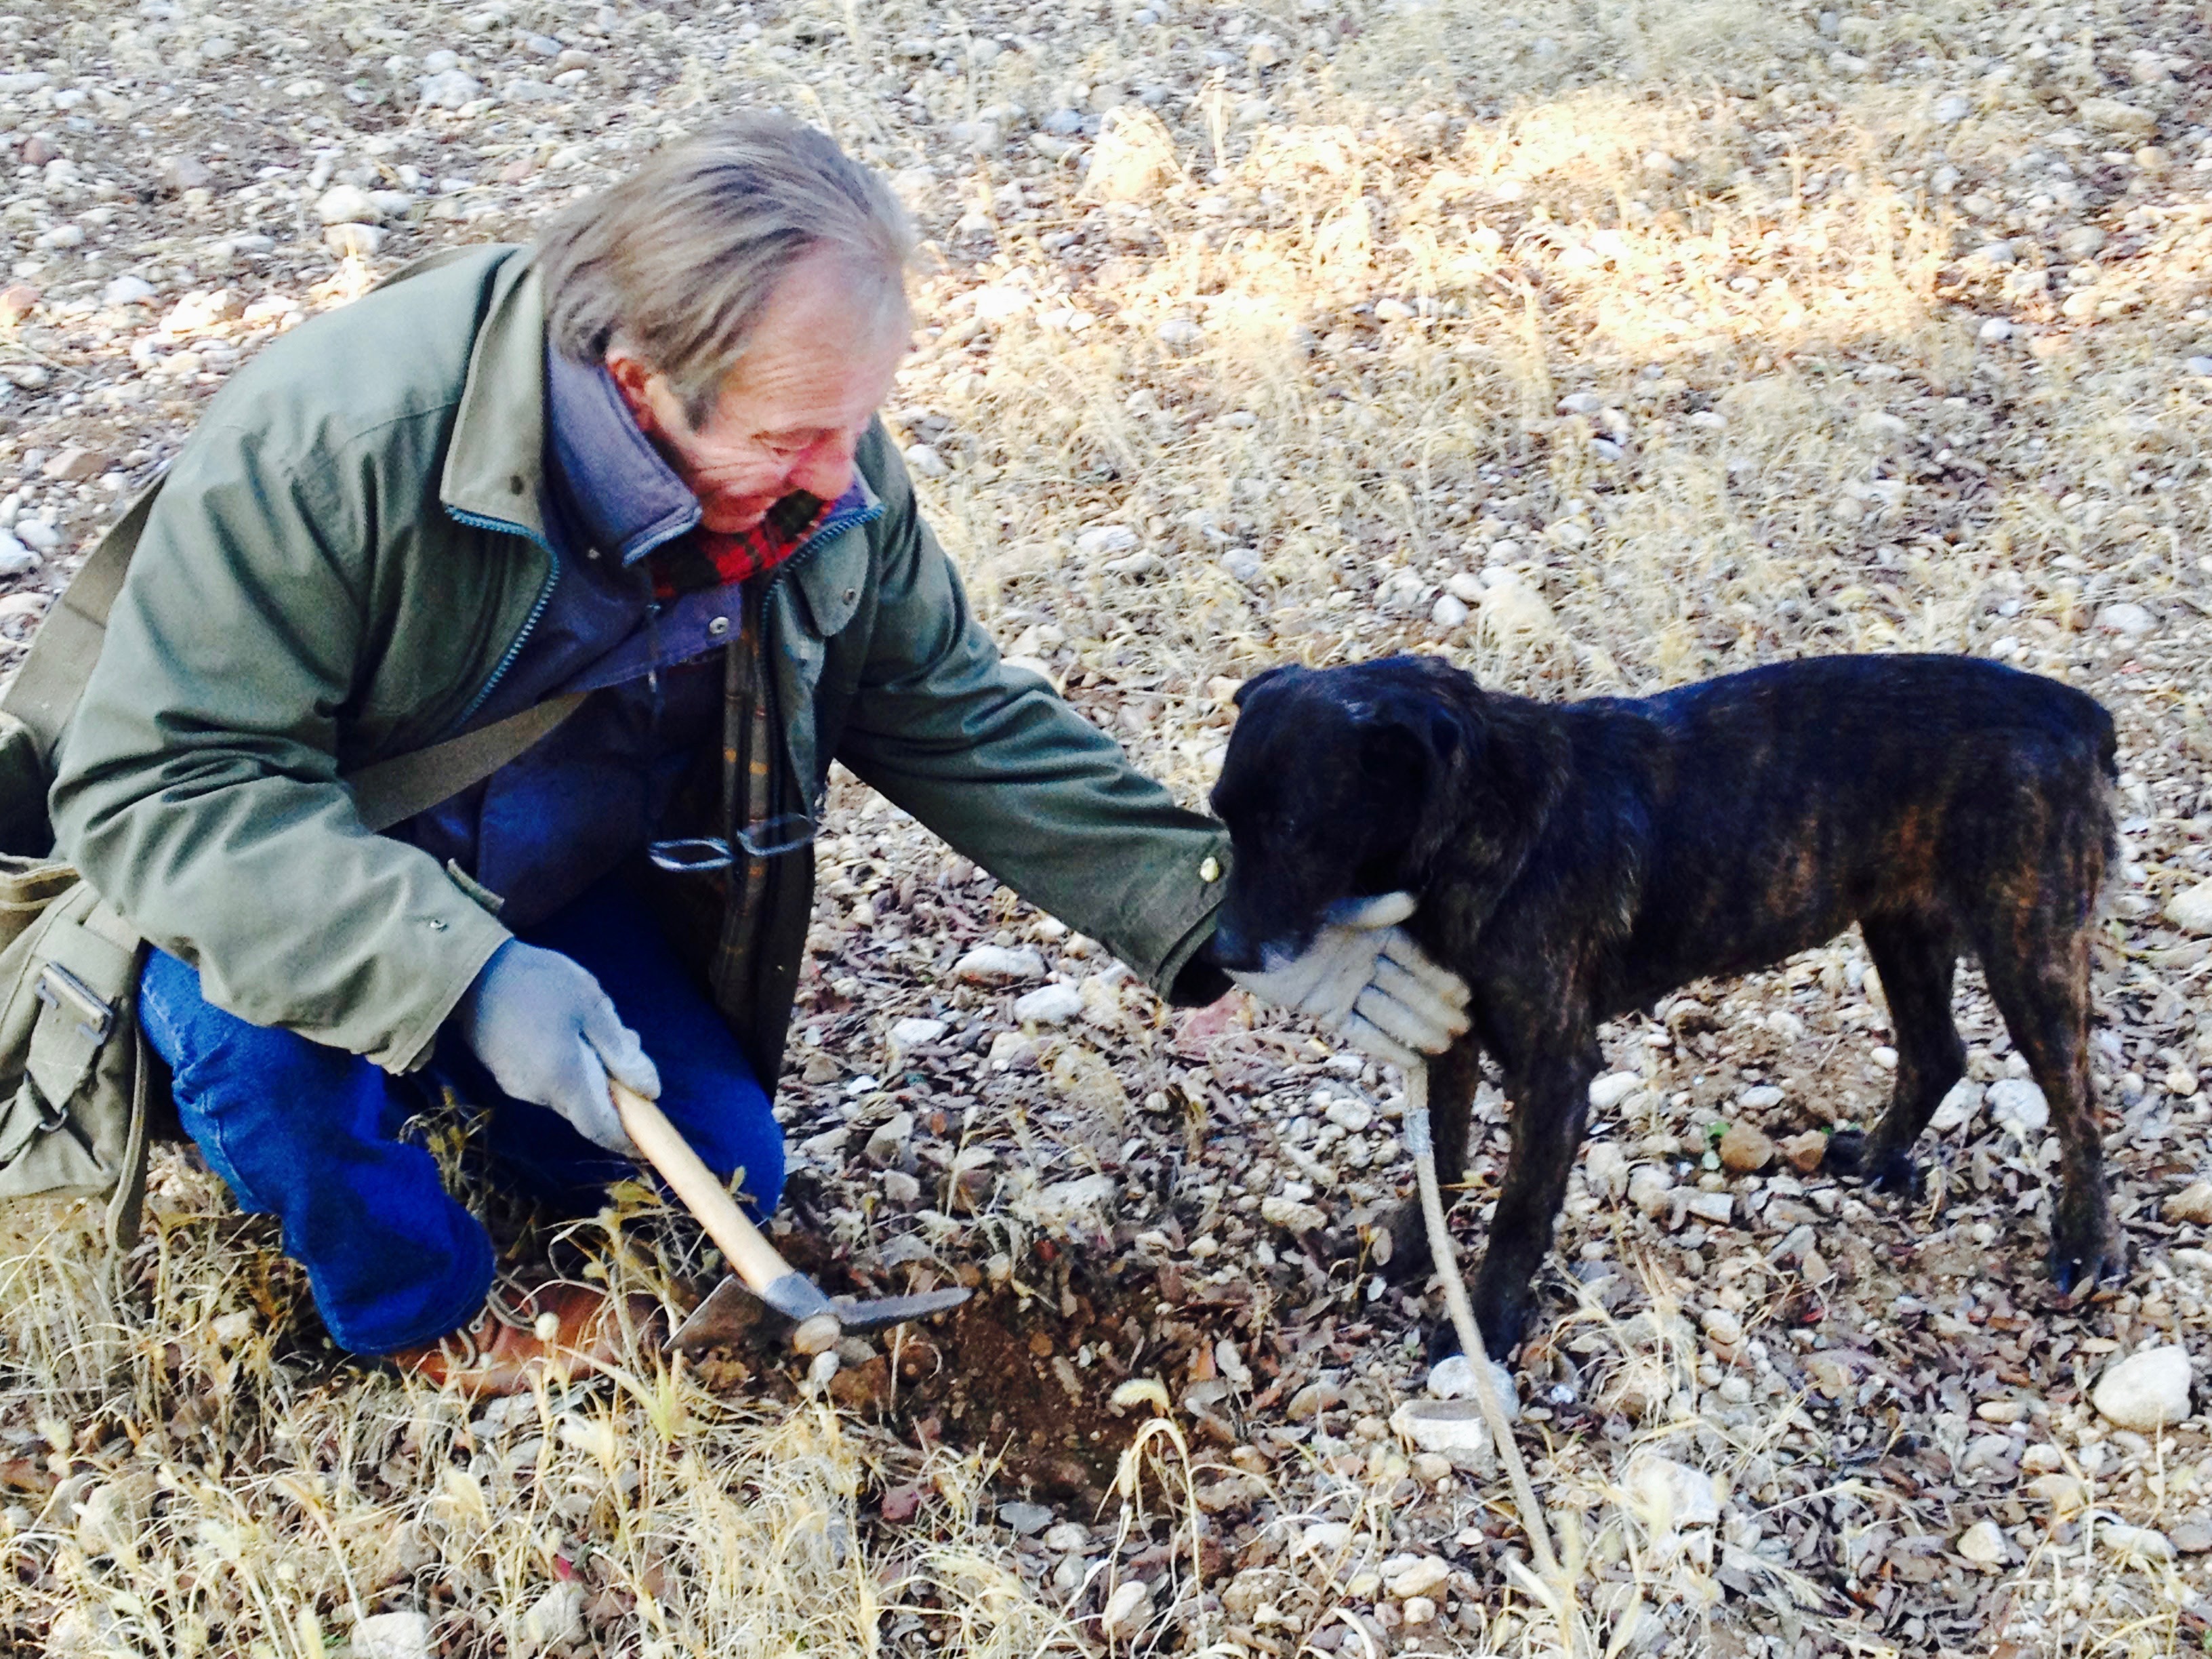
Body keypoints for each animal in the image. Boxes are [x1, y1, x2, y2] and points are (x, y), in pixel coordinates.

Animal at [1212, 655, 2123, 1362]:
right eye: (1222, 818)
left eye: (1292, 829)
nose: (1220, 951)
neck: (1477, 818)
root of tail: (2076, 711)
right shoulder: (1451, 1036)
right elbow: (1438, 1155)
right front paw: (1406, 1248)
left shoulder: (1555, 1067)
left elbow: (1519, 1212)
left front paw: (1488, 1323)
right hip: (1901, 927)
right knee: (1938, 1053)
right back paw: (1875, 1159)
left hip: (2029, 949)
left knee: (2079, 1109)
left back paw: (2084, 1246)